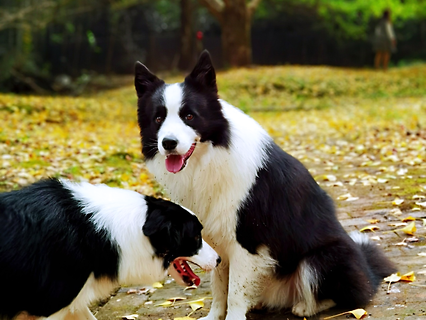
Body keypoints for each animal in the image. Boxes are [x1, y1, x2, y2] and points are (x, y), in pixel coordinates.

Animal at [134, 50, 396, 320]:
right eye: (158, 118)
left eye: (188, 116)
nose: (168, 143)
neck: (211, 155)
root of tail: (369, 272)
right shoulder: (216, 238)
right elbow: (219, 286)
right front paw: (215, 315)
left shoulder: (246, 241)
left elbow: (234, 291)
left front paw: (233, 317)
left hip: (322, 258)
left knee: (345, 295)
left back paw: (305, 306)